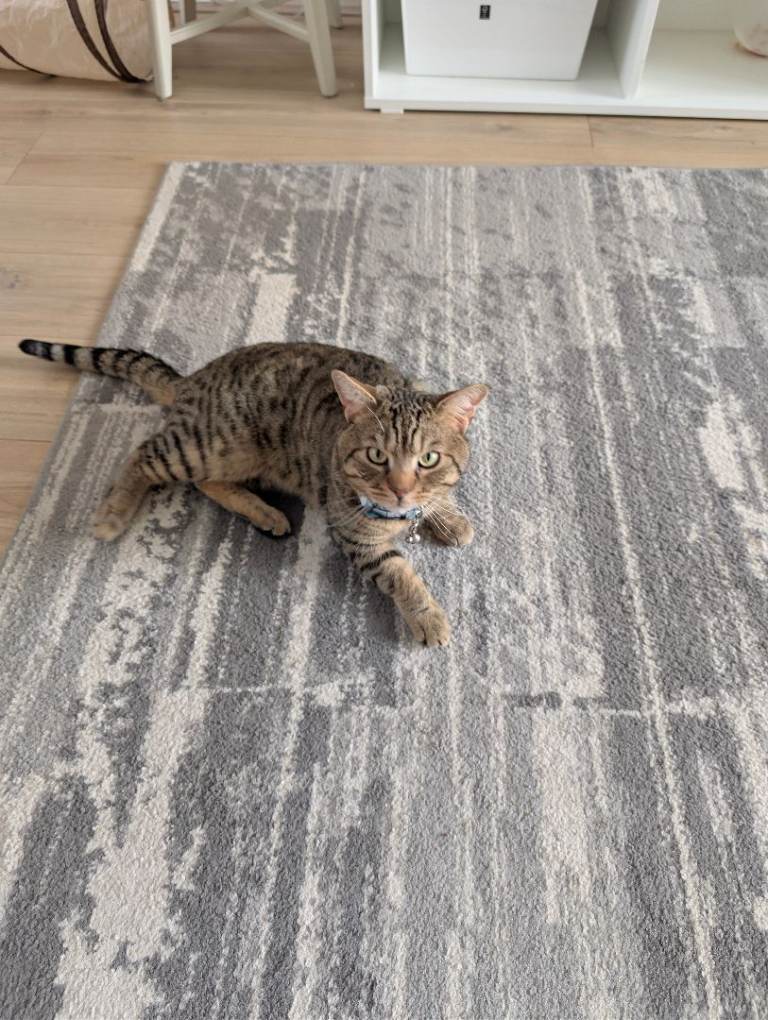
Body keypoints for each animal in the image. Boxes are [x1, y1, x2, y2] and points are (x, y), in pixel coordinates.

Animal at [19, 339, 488, 647]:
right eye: (376, 455)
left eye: (428, 459)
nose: (400, 490)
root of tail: (192, 380)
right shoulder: (355, 536)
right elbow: (399, 573)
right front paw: (428, 617)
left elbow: (439, 499)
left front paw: (450, 517)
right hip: (207, 445)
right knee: (144, 455)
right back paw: (113, 512)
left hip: (233, 457)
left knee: (207, 483)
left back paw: (265, 513)